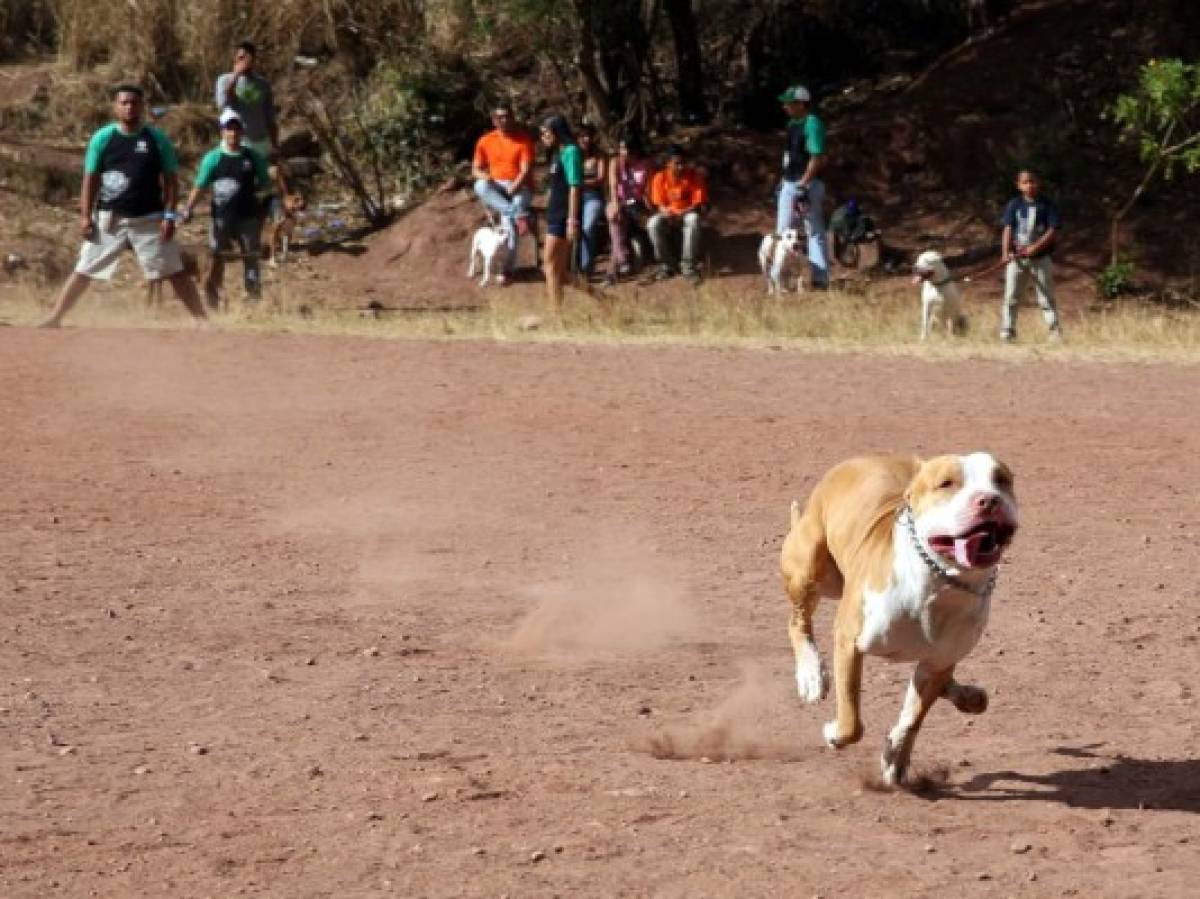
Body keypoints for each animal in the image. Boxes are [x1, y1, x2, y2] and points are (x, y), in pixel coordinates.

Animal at [782, 451, 1017, 782]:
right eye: (946, 483)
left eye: (1001, 480)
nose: (989, 500)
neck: (940, 583)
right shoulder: (849, 642)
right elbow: (852, 721)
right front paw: (834, 733)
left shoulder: (938, 661)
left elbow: (913, 718)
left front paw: (895, 756)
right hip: (811, 570)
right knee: (797, 621)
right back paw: (811, 676)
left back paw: (967, 696)